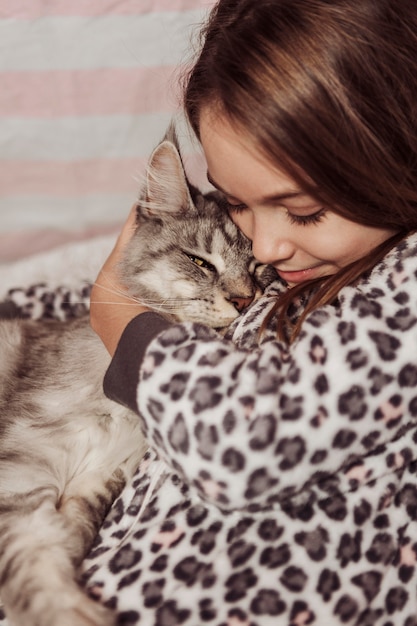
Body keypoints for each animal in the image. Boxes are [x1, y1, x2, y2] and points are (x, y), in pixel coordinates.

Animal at [0, 128, 270, 624]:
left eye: (260, 268)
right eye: (201, 263)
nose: (244, 301)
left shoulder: (96, 482)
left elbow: (65, 541)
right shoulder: (19, 482)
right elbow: (37, 575)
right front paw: (79, 613)